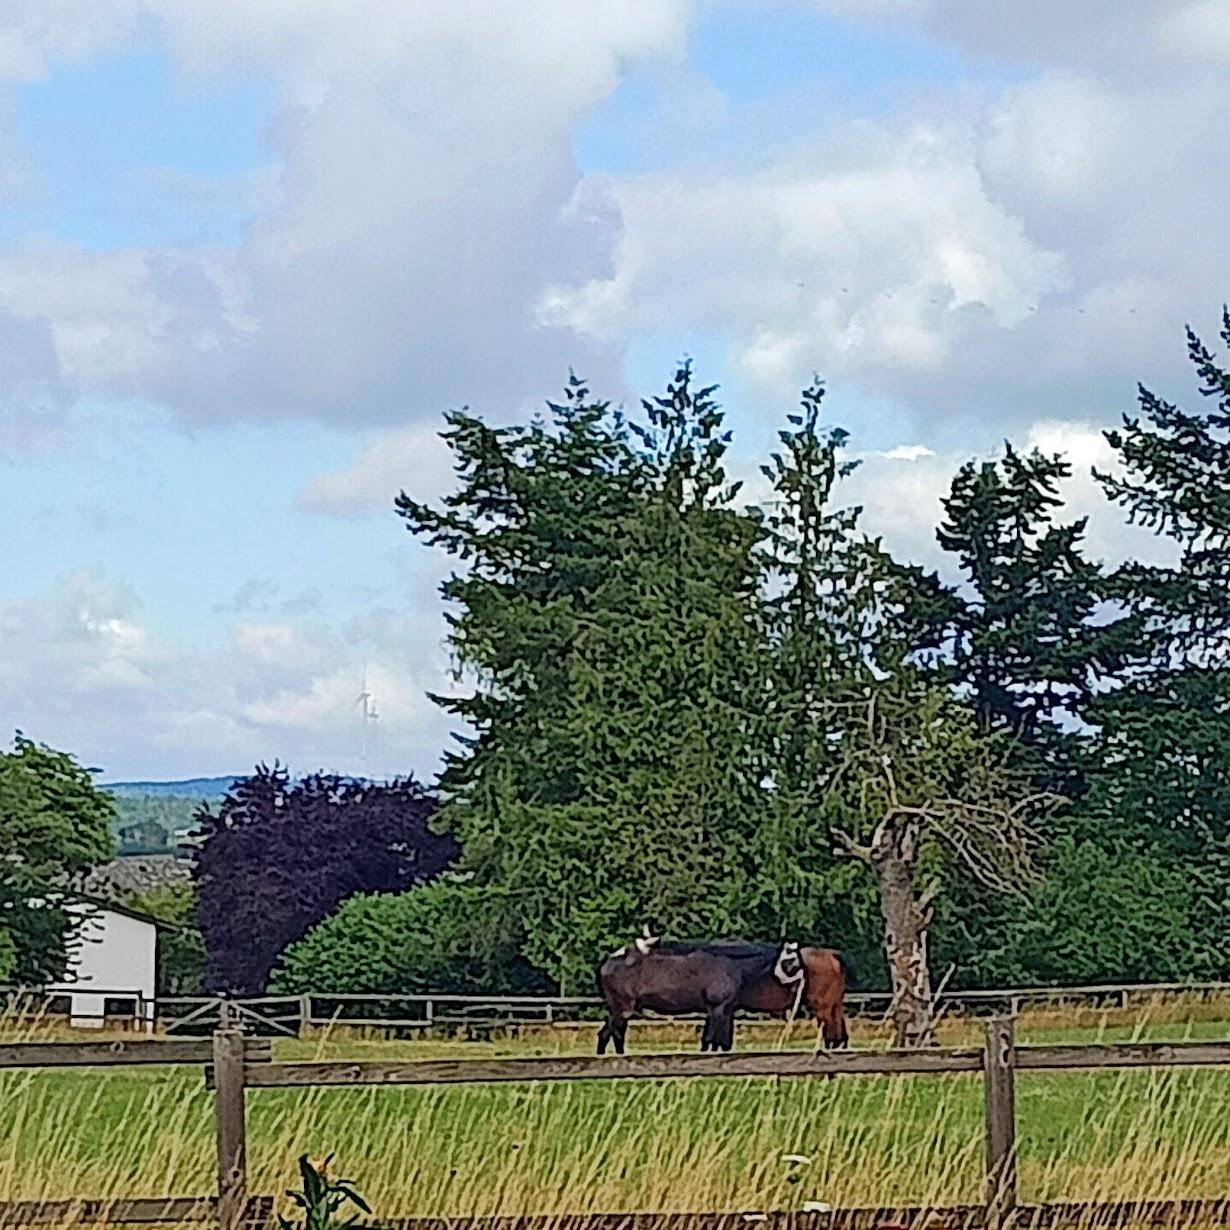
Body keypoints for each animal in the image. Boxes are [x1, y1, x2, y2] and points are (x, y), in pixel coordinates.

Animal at [597, 929, 806, 1057]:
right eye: (793, 962)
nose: (802, 983)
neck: (730, 963)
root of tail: (609, 963)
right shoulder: (717, 1008)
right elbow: (712, 1040)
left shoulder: (724, 1010)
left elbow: (719, 1042)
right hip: (622, 1009)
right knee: (614, 1033)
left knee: (608, 1033)